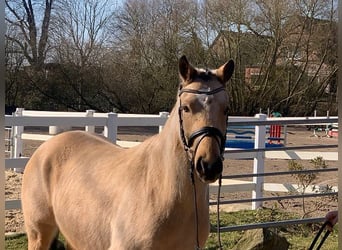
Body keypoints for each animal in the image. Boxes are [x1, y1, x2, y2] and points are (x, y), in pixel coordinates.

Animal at [22, 55, 235, 249]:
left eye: (226, 109)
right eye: (186, 108)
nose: (209, 165)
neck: (162, 188)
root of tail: (45, 148)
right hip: (39, 235)